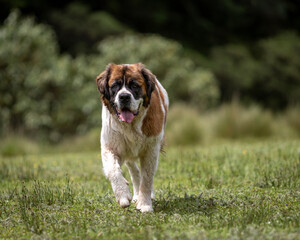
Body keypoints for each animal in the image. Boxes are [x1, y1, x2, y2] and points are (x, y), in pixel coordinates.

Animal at [95, 62, 168, 212]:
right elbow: (113, 170)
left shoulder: (151, 150)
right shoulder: (109, 147)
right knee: (133, 170)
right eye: (115, 86)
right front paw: (123, 195)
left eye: (134, 85)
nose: (124, 96)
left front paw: (145, 204)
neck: (130, 125)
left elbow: (147, 178)